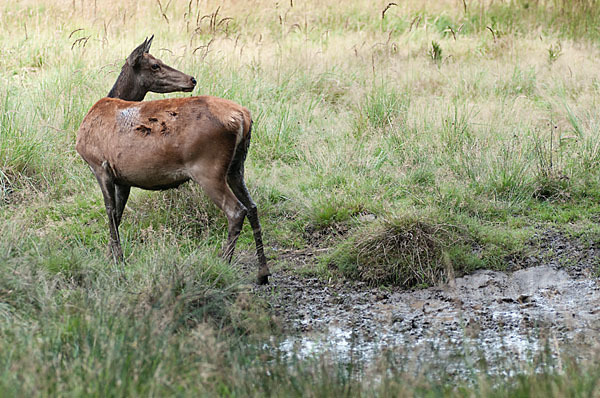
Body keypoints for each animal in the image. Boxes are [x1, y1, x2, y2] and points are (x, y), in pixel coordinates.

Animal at [76, 36, 270, 282]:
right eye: (155, 65)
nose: (192, 79)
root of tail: (243, 117)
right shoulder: (123, 178)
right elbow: (118, 214)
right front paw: (111, 256)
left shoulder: (99, 165)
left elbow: (110, 213)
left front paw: (117, 260)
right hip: (236, 166)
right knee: (252, 207)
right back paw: (263, 273)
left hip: (208, 168)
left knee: (236, 211)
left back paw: (222, 265)